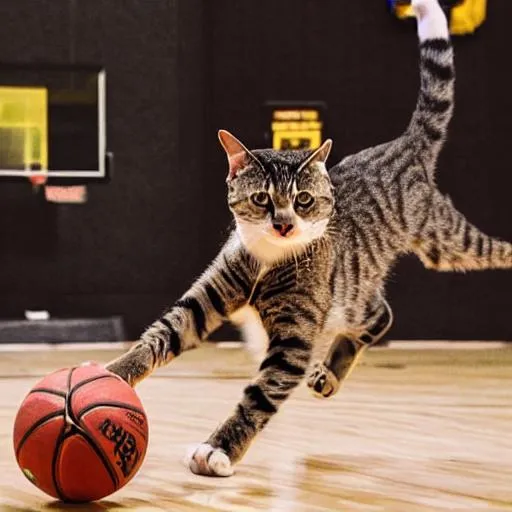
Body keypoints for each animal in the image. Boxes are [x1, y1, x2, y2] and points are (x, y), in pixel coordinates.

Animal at [105, 0, 512, 478]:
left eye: (302, 200)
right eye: (261, 199)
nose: (284, 224)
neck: (267, 258)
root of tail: (401, 145)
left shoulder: (293, 342)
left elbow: (258, 396)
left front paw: (218, 448)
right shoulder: (205, 300)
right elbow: (159, 336)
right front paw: (108, 374)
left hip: (445, 242)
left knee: (484, 255)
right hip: (354, 290)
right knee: (380, 313)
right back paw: (330, 372)